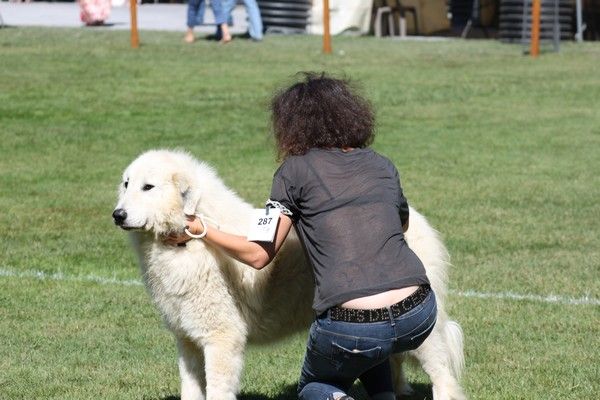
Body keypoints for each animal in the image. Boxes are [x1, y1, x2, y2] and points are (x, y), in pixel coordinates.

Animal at [113, 150, 468, 400]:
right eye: (127, 184)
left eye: (148, 187)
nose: (118, 215)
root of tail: (414, 219)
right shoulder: (187, 339)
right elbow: (190, 389)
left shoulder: (221, 339)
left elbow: (216, 389)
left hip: (425, 333)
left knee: (442, 374)